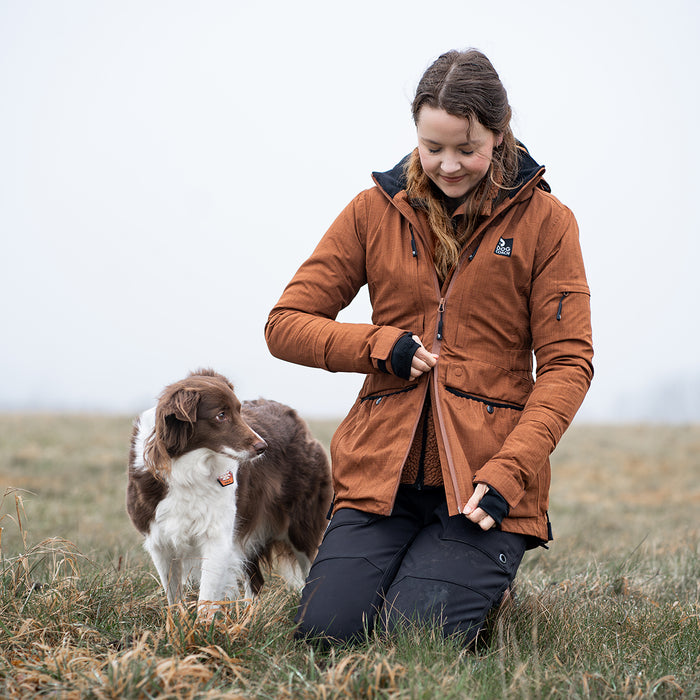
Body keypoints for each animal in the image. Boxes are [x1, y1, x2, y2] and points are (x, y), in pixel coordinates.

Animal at [126, 372, 334, 608]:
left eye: (239, 411)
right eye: (221, 415)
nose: (264, 447)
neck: (187, 468)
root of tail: (294, 416)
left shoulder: (217, 537)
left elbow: (206, 599)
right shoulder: (160, 542)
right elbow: (174, 598)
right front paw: (179, 618)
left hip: (300, 526)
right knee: (255, 580)